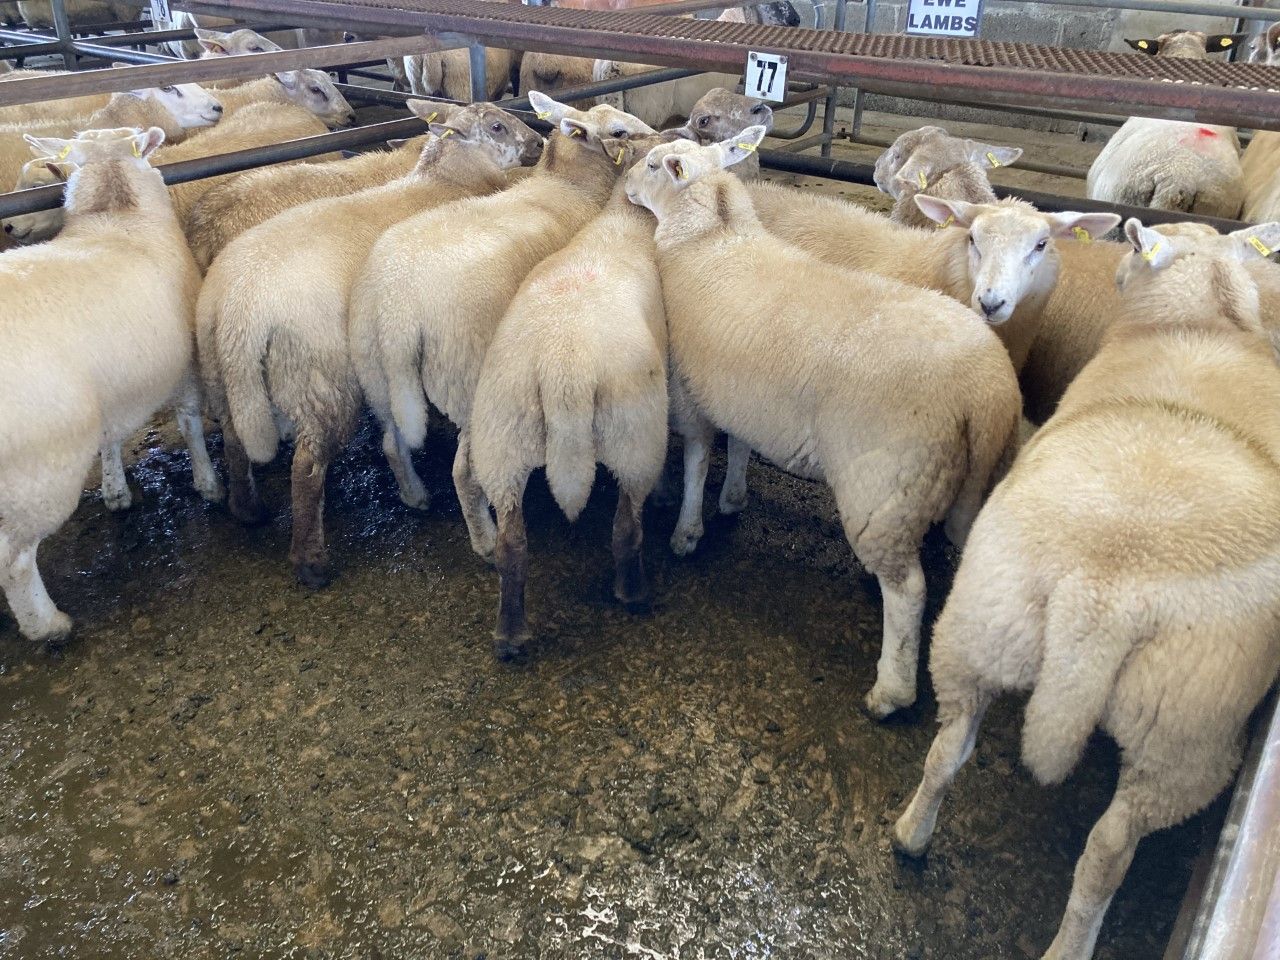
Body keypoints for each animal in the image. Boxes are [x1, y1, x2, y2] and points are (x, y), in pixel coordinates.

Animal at [0, 127, 208, 643]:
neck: (117, 219)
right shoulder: (188, 362)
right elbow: (191, 424)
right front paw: (210, 484)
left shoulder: (113, 388)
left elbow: (111, 439)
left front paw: (116, 491)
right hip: (39, 470)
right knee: (13, 561)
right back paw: (47, 625)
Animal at [349, 92, 655, 569]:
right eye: (620, 132)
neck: (569, 185)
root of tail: (397, 312)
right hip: (467, 378)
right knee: (463, 471)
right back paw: (487, 542)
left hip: (375, 372)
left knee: (391, 443)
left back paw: (415, 496)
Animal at [470, 132, 676, 655]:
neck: (624, 220)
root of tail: (565, 373)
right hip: (635, 436)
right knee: (627, 527)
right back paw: (633, 593)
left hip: (502, 436)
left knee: (512, 545)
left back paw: (510, 635)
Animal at [892, 217, 1280, 960]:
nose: (1122, 273)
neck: (1201, 324)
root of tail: (1101, 590)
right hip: (1185, 736)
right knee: (1107, 852)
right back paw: (1073, 942)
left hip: (981, 628)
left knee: (948, 751)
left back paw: (910, 835)